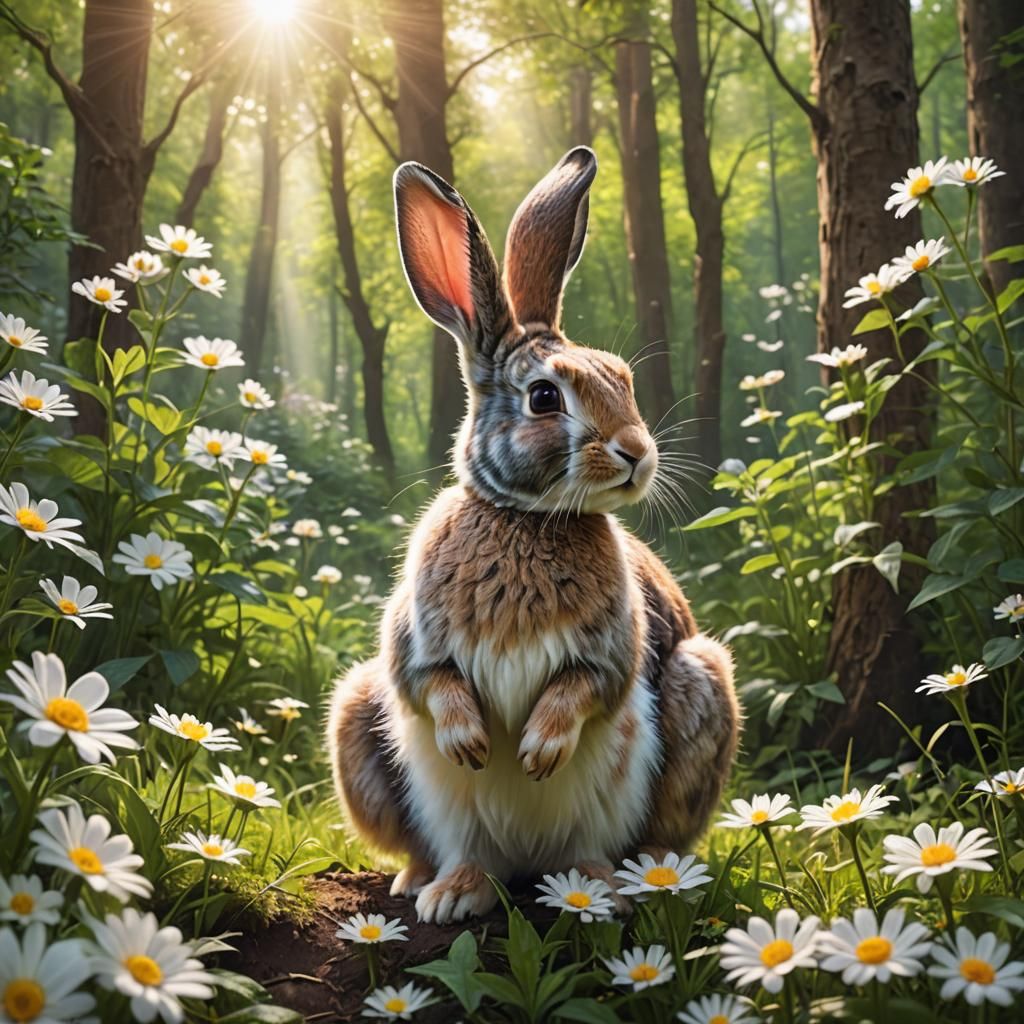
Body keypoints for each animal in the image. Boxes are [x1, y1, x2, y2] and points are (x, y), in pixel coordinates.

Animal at [327, 147, 739, 924]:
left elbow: (586, 687)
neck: (527, 517)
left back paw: (605, 888)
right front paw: (470, 740)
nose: (638, 452)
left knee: (613, 845)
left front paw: (539, 750)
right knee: (458, 849)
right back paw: (442, 892)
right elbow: (430, 684)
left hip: (697, 686)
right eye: (545, 397)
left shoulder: (610, 651)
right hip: (358, 715)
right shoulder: (414, 645)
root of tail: (526, 868)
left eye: (623, 379)